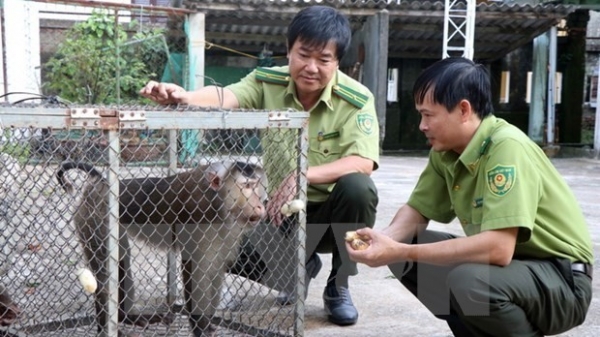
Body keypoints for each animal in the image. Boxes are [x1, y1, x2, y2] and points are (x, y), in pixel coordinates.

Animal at [56, 159, 268, 336]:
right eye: (247, 186)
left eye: (257, 186)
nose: (260, 205)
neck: (219, 200)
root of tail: (100, 186)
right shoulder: (200, 214)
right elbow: (196, 268)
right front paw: (200, 327)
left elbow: (215, 268)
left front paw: (207, 323)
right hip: (95, 220)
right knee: (106, 269)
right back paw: (105, 328)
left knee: (122, 259)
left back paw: (126, 317)